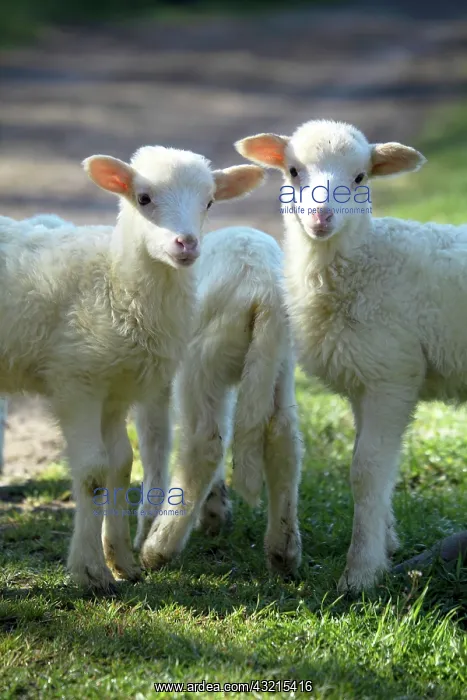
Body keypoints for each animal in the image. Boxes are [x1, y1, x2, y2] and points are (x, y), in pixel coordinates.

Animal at [0, 147, 264, 592]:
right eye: (143, 198)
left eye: (210, 202)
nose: (186, 243)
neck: (114, 281)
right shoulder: (76, 383)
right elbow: (93, 472)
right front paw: (90, 572)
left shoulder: (116, 389)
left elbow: (120, 466)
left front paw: (122, 560)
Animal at [138, 226, 303, 577]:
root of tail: (263, 293)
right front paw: (216, 508)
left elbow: (153, 440)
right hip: (278, 364)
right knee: (283, 437)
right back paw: (283, 552)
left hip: (201, 360)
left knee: (205, 444)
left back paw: (158, 547)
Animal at [232, 119, 466, 594]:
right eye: (293, 170)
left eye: (360, 178)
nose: (321, 218)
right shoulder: (364, 374)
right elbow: (374, 464)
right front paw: (387, 540)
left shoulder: (392, 375)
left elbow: (365, 470)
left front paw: (361, 572)